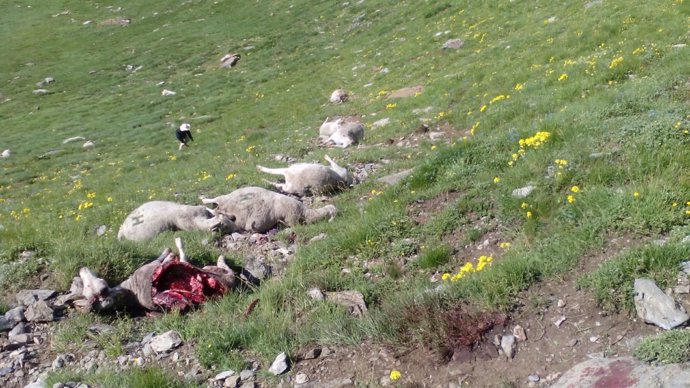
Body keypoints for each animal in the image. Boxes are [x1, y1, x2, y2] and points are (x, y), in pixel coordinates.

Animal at [199, 186, 336, 232]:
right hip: (226, 197)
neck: (305, 212)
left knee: (216, 210)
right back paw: (203, 199)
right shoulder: (291, 218)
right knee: (213, 201)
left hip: (228, 211)